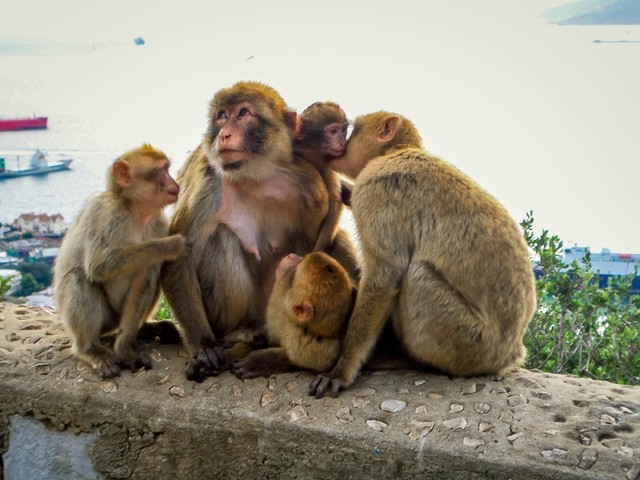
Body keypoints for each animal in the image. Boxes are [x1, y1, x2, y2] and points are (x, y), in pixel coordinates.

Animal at [53, 144, 189, 378]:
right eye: (161, 171)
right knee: (78, 277)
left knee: (148, 270)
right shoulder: (108, 213)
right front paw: (170, 246)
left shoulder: (160, 223)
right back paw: (90, 349)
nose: (174, 183)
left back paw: (138, 333)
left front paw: (124, 350)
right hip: (105, 319)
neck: (136, 212)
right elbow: (98, 266)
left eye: (167, 169)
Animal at [293, 102, 349, 252]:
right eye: (333, 131)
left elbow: (335, 200)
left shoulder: (327, 163)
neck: (311, 150)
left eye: (343, 130)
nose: (343, 142)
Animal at [309, 111, 537, 398]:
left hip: (472, 343)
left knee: (416, 276)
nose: (340, 143)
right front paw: (344, 190)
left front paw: (341, 371)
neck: (396, 152)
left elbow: (384, 277)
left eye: (351, 131)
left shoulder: (378, 192)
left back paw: (411, 359)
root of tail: (511, 353)